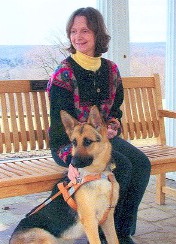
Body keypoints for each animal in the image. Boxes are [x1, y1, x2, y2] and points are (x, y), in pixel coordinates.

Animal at [9, 106, 119, 244]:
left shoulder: (108, 219)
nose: (73, 163)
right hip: (46, 237)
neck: (97, 175)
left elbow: (115, 240)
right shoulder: (90, 222)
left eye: (88, 141)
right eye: (74, 142)